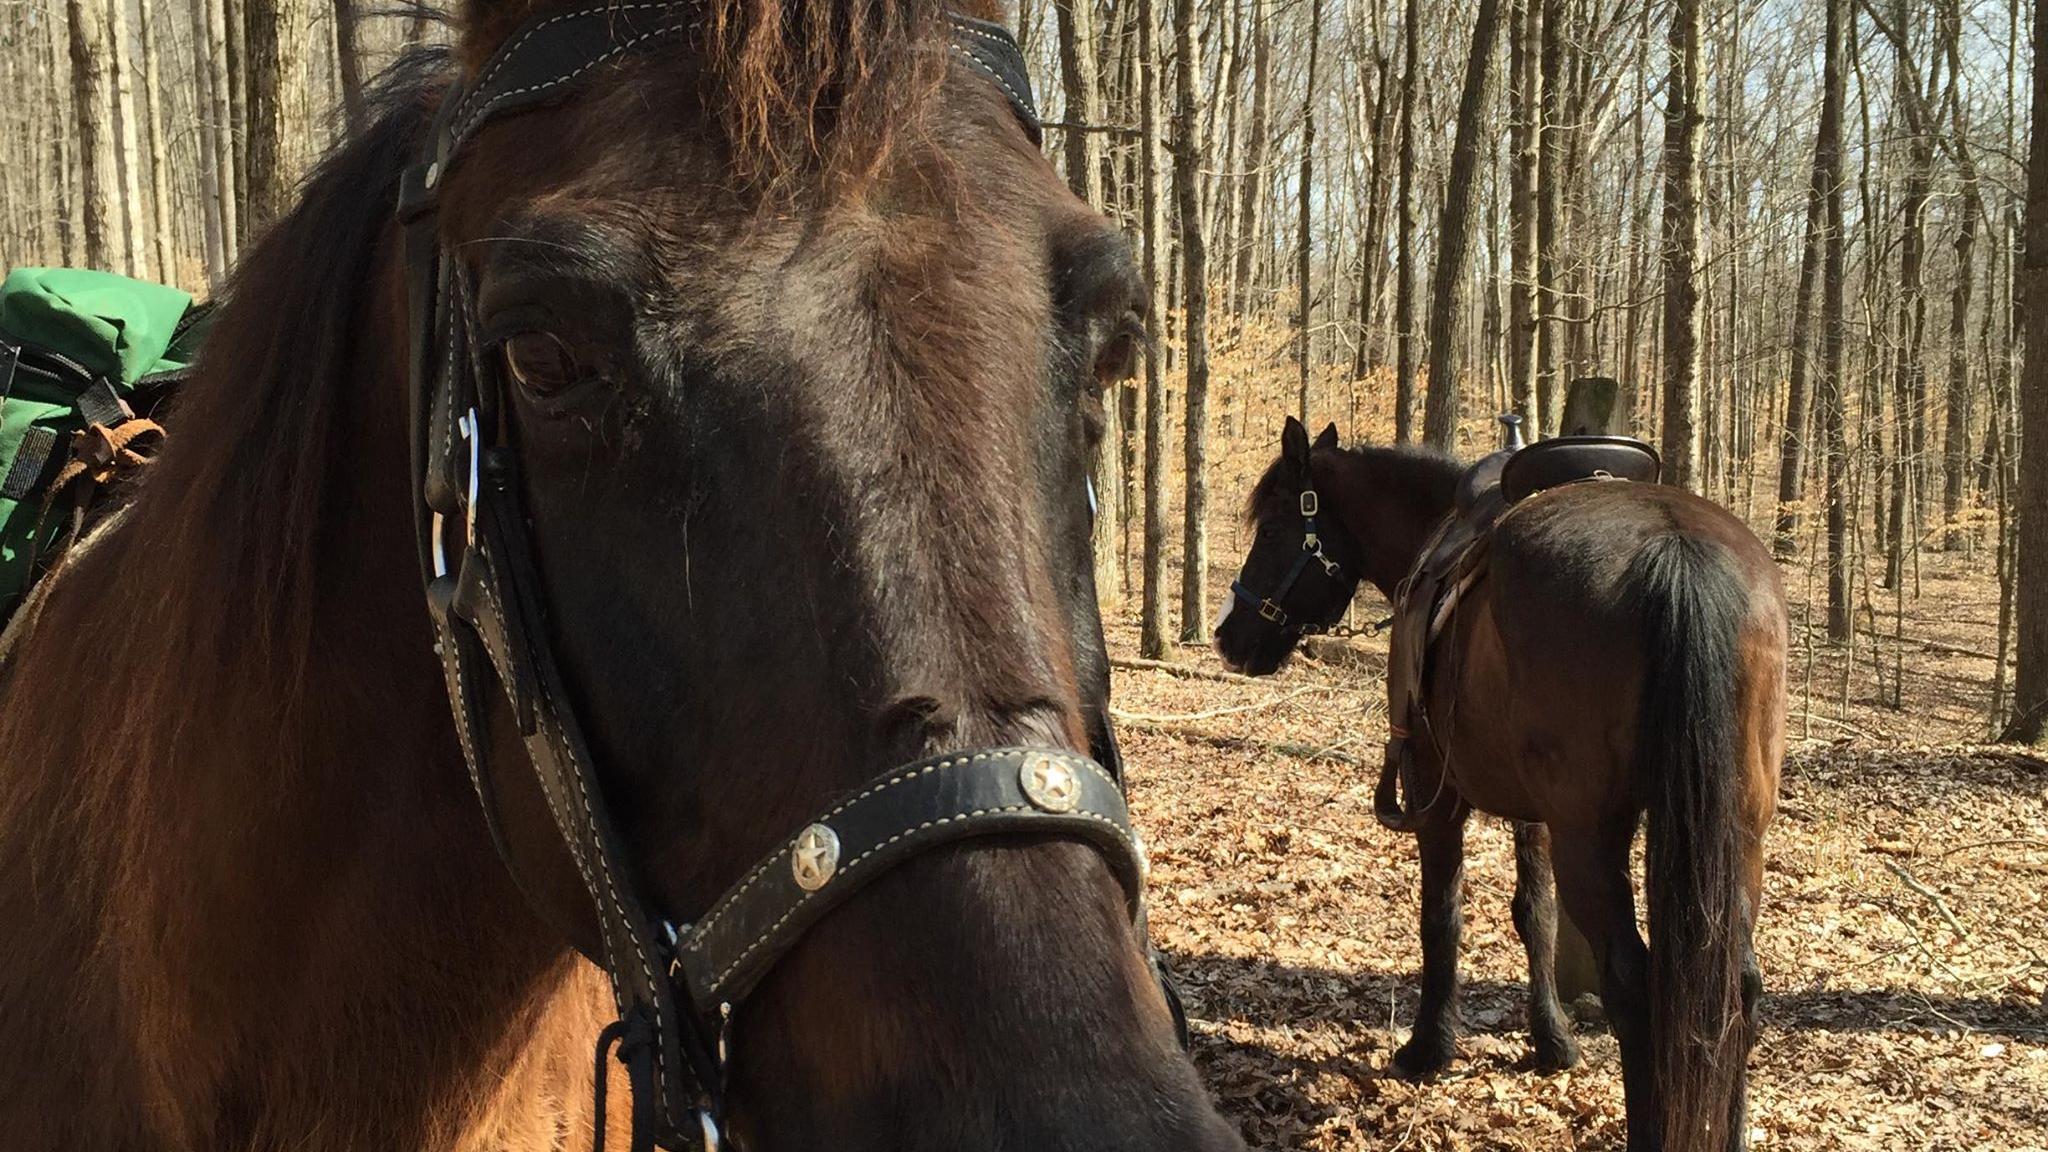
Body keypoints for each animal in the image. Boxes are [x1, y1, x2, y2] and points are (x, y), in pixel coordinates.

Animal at [1214, 417, 1785, 1152]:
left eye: (1276, 527)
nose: (1230, 637)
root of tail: (1674, 548)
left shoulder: (1434, 790)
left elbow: (1442, 913)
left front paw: (1428, 1048)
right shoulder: (1534, 811)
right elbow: (1534, 913)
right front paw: (1553, 1043)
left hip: (1591, 836)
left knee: (1633, 984)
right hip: (1737, 831)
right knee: (1736, 984)